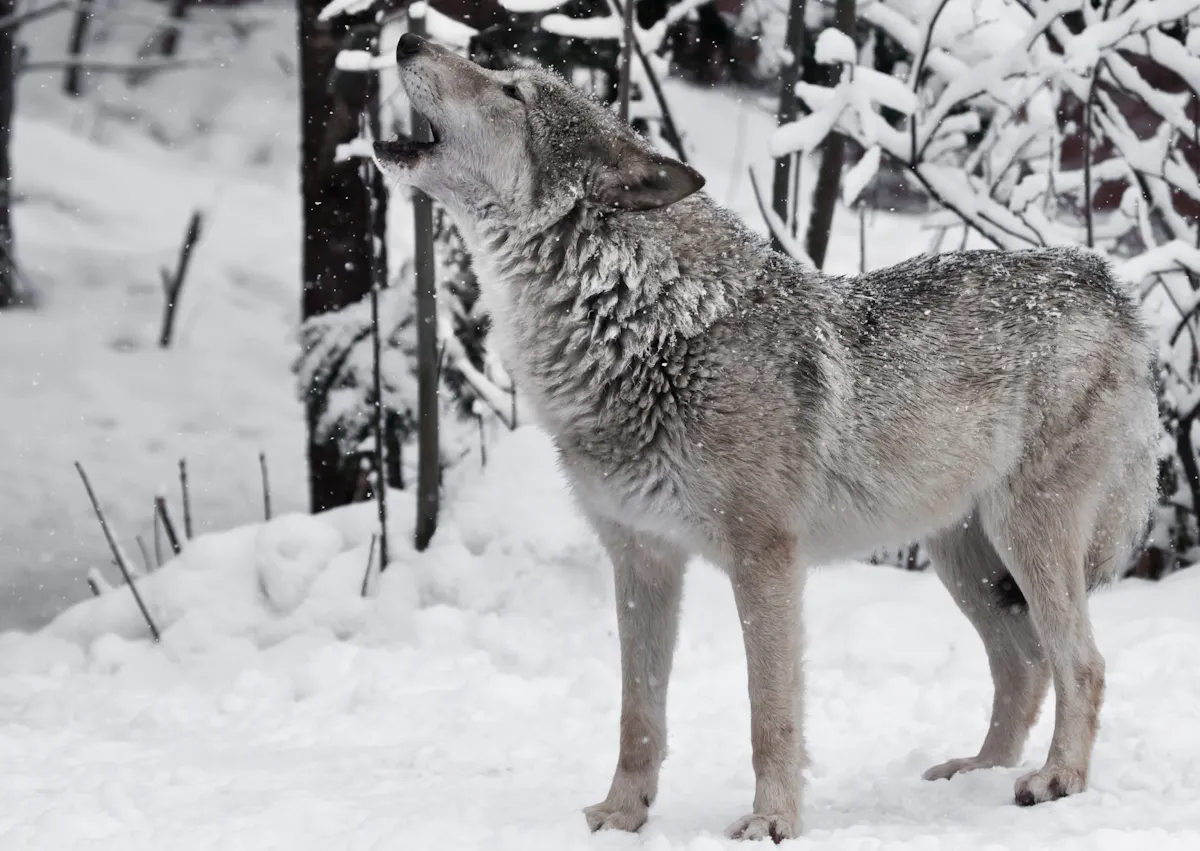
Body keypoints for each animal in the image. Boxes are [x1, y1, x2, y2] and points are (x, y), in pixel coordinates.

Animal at [373, 32, 1160, 842]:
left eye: (511, 91)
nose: (406, 38)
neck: (642, 325)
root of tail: (1107, 283)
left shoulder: (765, 562)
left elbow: (769, 714)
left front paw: (772, 822)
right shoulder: (640, 561)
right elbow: (637, 717)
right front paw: (622, 816)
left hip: (1024, 537)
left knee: (1082, 663)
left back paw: (1057, 780)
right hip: (964, 560)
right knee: (1024, 666)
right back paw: (978, 772)